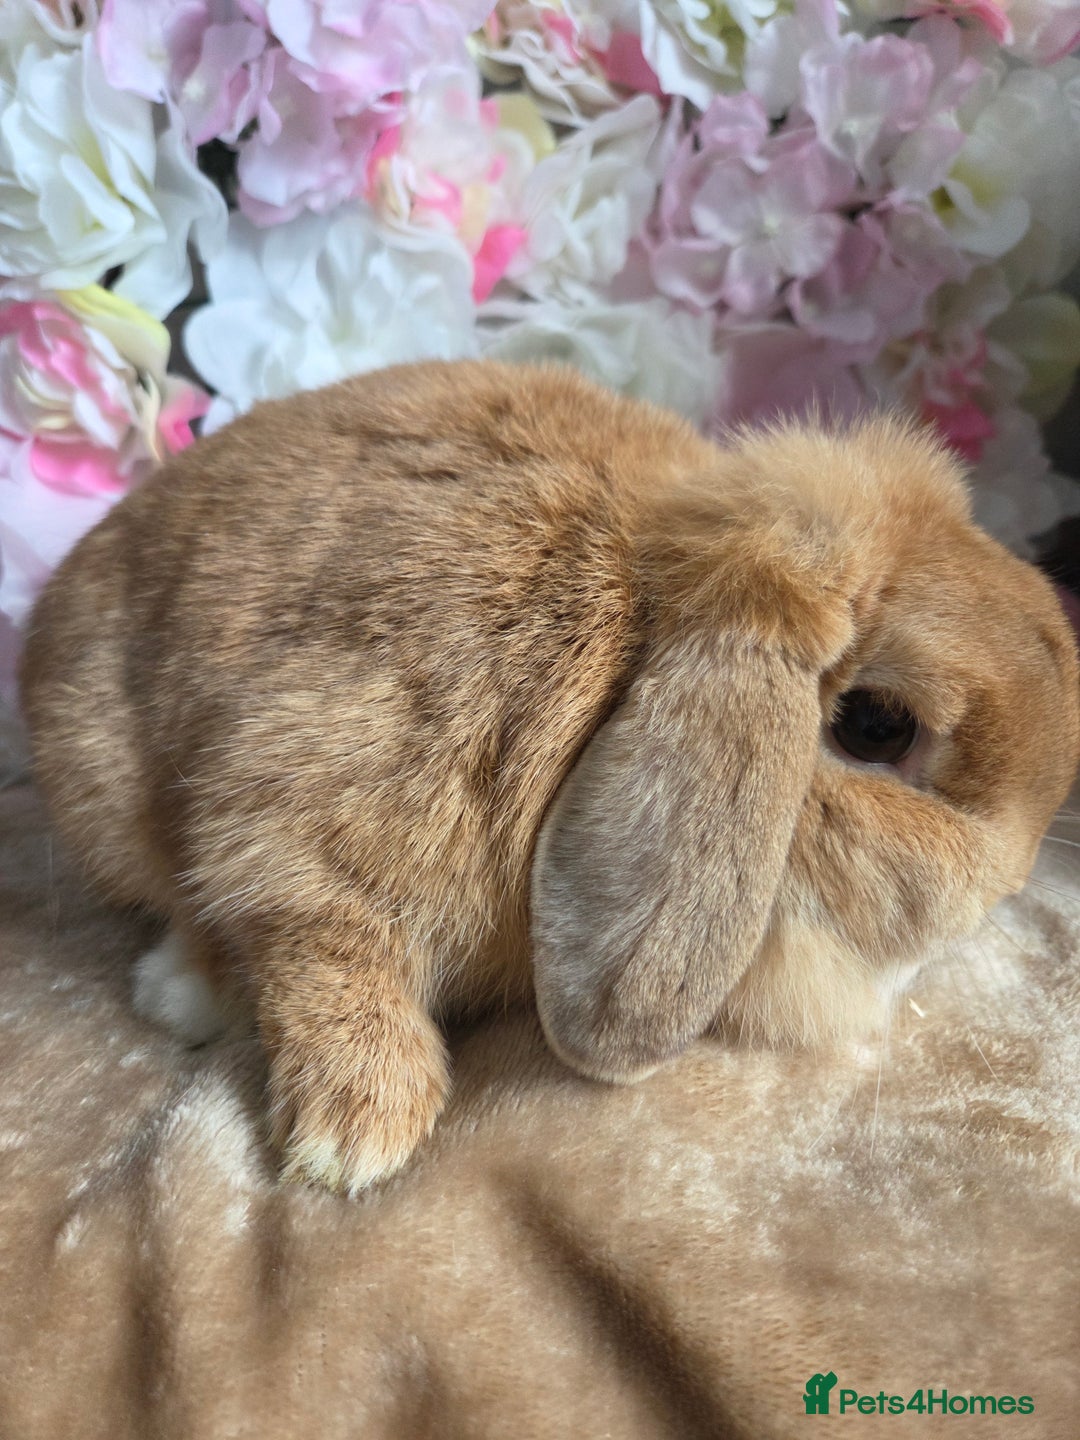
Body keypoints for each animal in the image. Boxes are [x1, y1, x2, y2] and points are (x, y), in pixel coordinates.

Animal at [19, 360, 1080, 1196]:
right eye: (876, 727)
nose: (1009, 884)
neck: (632, 649)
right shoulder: (310, 801)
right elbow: (310, 931)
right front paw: (358, 1136)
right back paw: (186, 993)